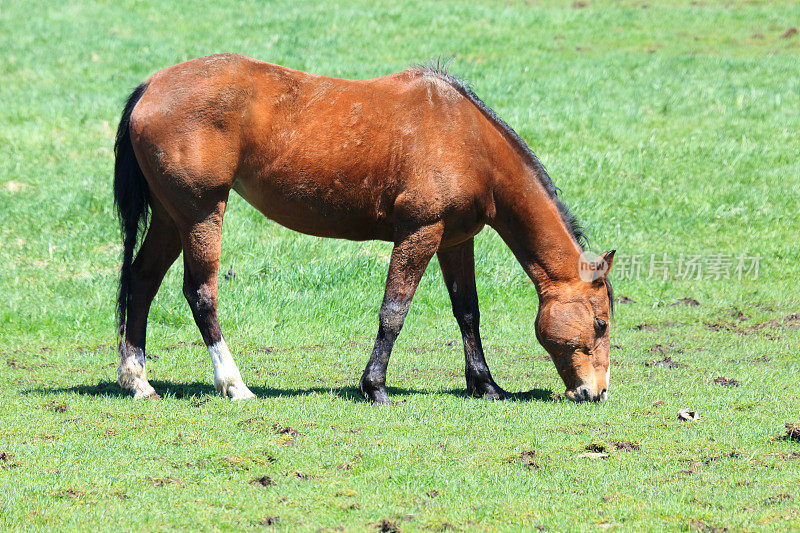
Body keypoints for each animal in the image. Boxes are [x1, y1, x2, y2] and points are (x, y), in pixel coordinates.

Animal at [112, 54, 616, 404]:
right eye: (601, 322)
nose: (597, 392)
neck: (468, 140)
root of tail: (151, 86)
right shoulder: (419, 233)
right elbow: (394, 312)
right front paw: (375, 387)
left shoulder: (456, 240)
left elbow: (468, 312)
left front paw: (486, 385)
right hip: (201, 214)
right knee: (201, 293)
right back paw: (234, 385)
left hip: (170, 219)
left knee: (142, 281)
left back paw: (139, 382)